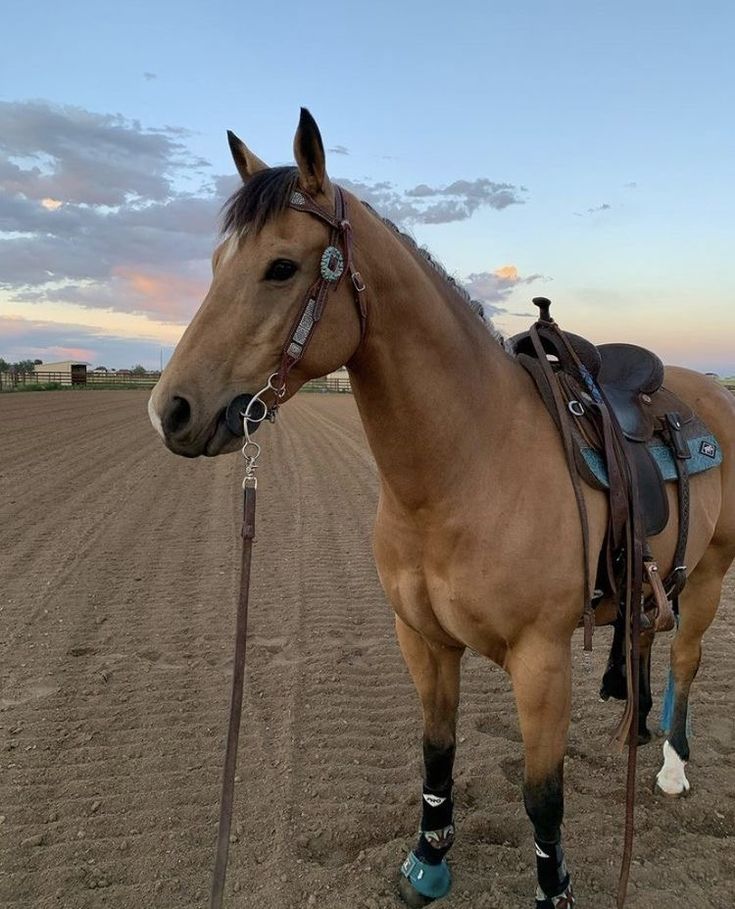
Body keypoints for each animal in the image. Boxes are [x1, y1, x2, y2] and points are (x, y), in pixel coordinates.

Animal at [148, 110, 735, 904]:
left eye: (281, 267)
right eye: (215, 264)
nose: (170, 411)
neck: (464, 469)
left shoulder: (540, 658)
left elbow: (542, 794)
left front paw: (554, 889)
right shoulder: (421, 640)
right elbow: (435, 751)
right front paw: (427, 860)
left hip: (707, 574)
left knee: (684, 655)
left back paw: (672, 765)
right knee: (644, 646)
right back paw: (630, 736)